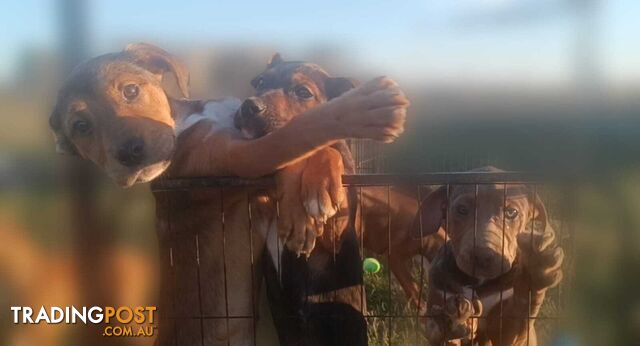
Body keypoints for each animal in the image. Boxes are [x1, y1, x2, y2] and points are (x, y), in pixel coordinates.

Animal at [50, 44, 410, 346]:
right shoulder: (240, 159)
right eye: (81, 127)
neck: (187, 117)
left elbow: (310, 145)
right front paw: (367, 111)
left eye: (131, 90)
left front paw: (309, 199)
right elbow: (302, 133)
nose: (129, 153)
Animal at [418, 167, 564, 344]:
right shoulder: (440, 291)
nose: (482, 255)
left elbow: (520, 312)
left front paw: (533, 272)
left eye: (511, 212)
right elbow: (438, 332)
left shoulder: (508, 330)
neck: (478, 283)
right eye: (462, 209)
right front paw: (451, 322)